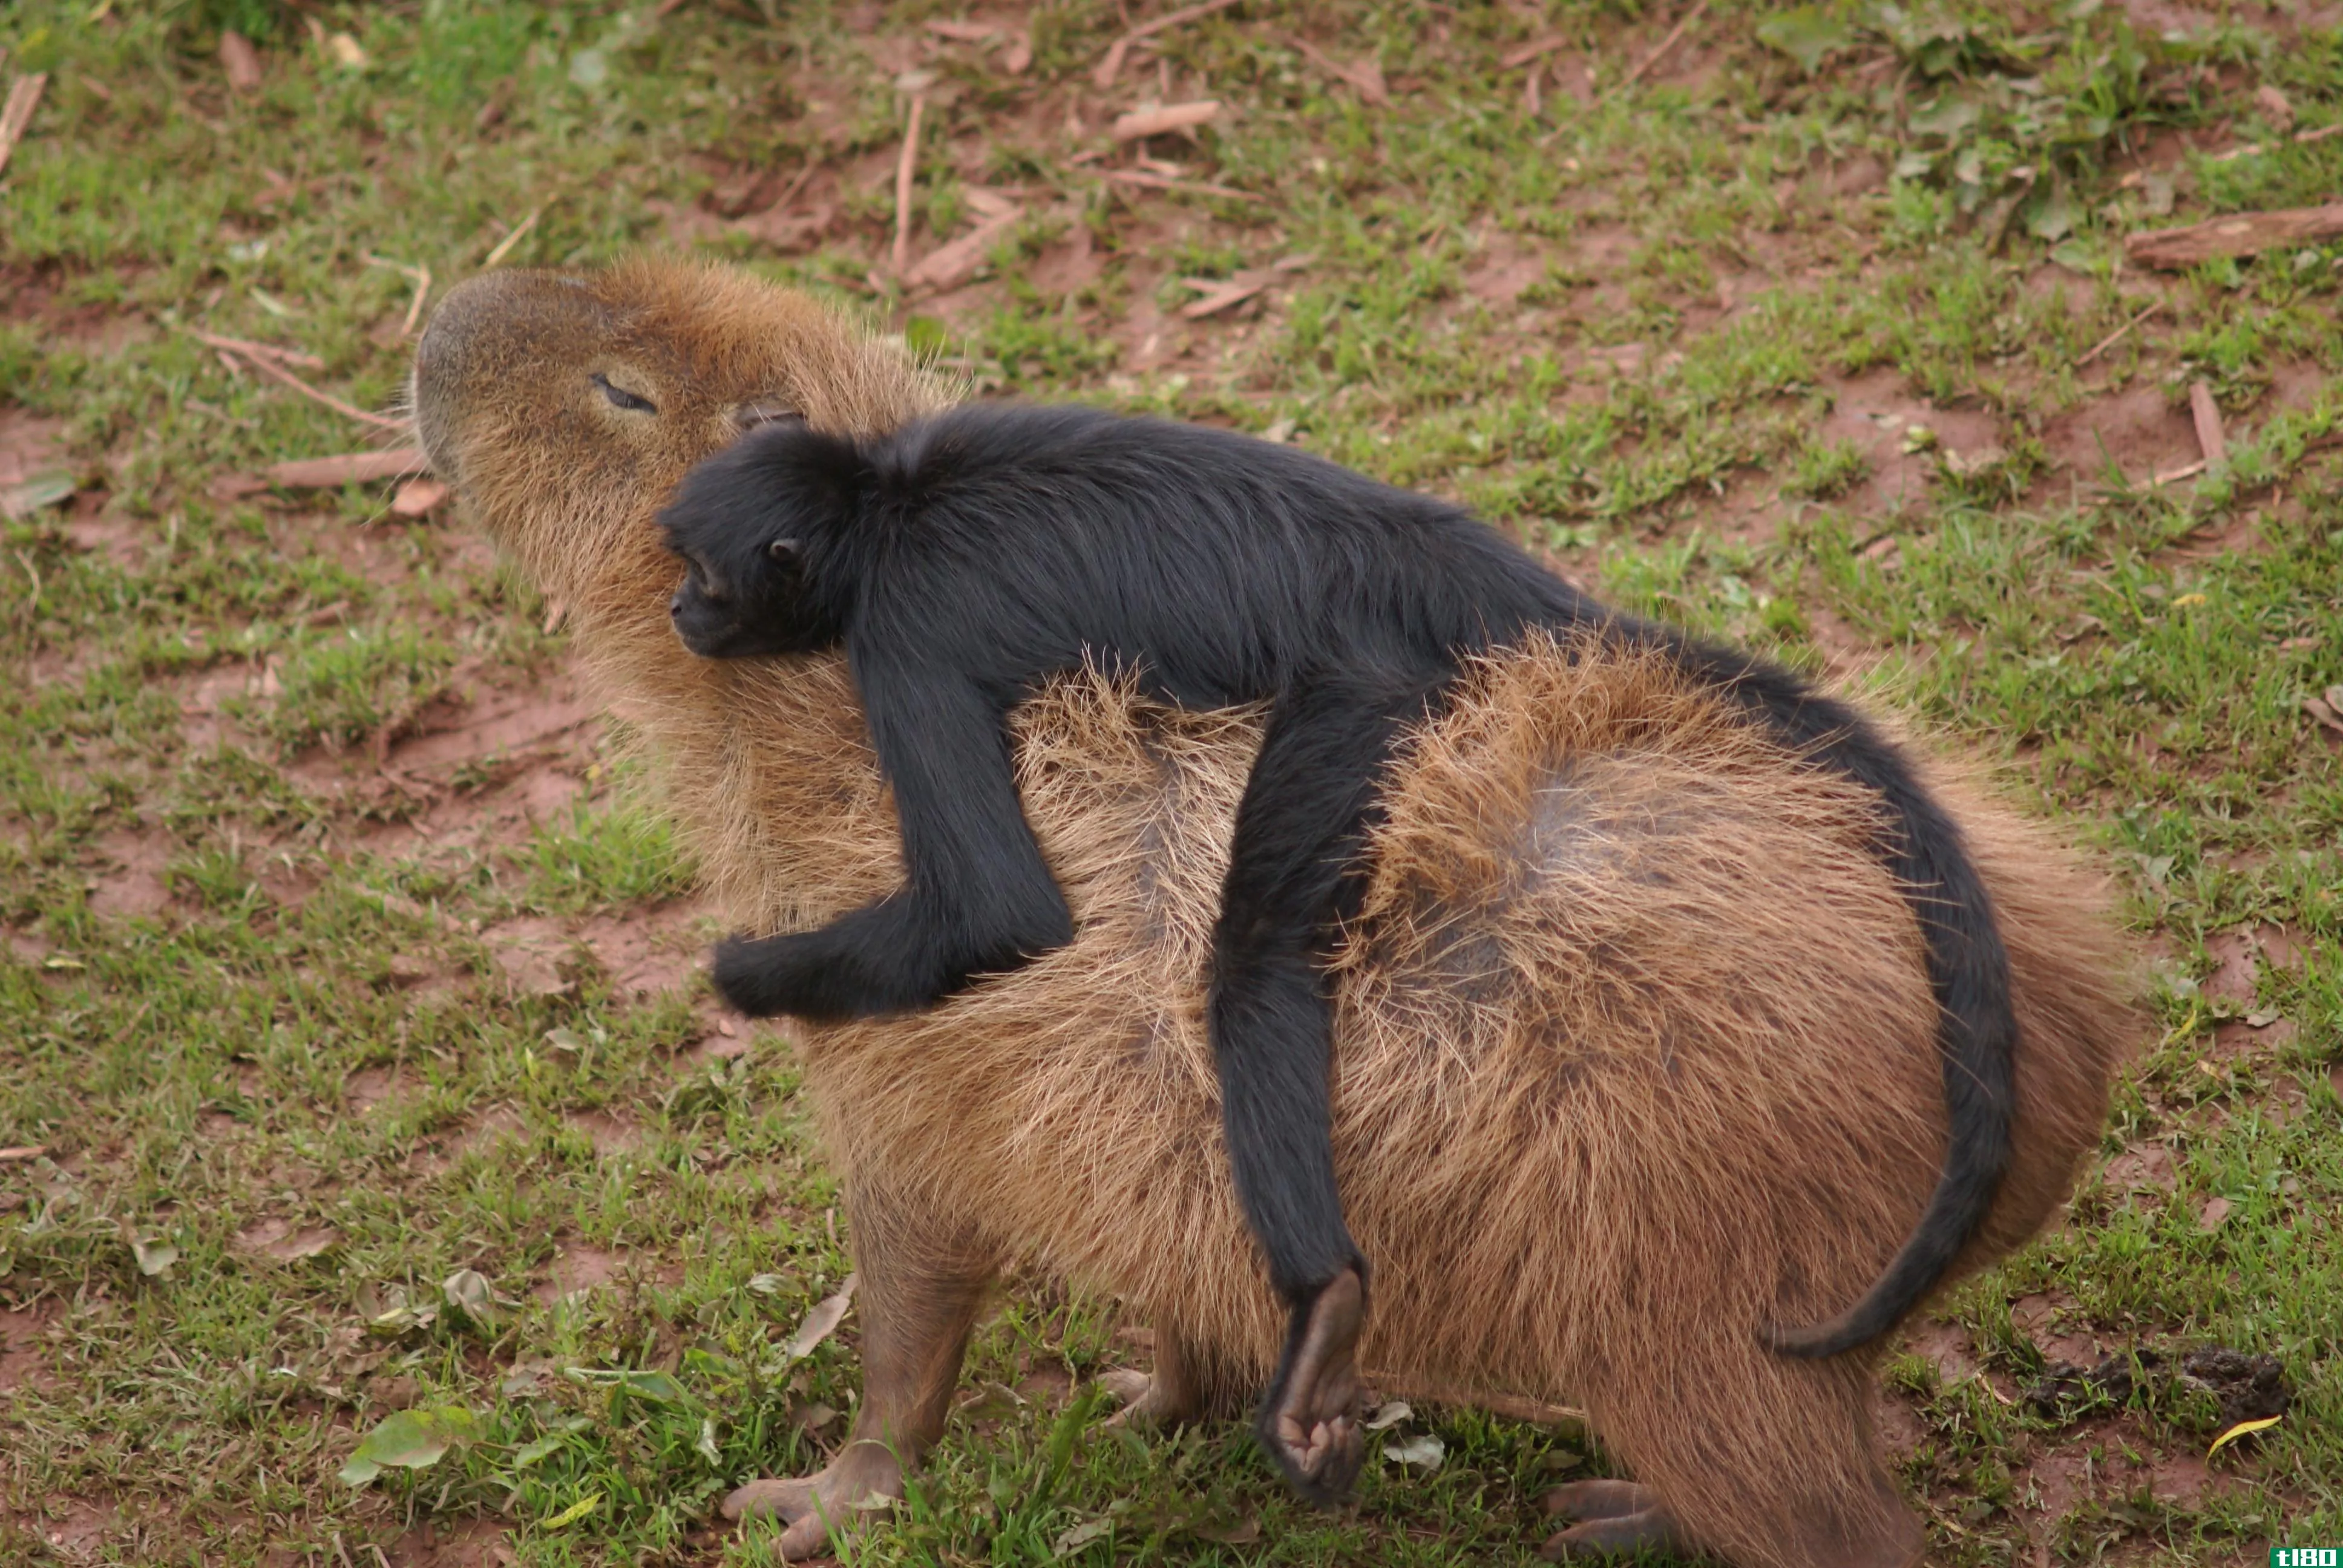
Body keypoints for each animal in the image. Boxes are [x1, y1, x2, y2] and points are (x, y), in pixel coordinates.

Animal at [656, 400, 2014, 1500]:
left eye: (702, 573)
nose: (678, 609)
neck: (887, 498)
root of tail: (1425, 555)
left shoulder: (901, 637)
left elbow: (996, 911)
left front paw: (746, 973)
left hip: (1356, 695)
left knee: (1253, 968)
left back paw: (1324, 1311)